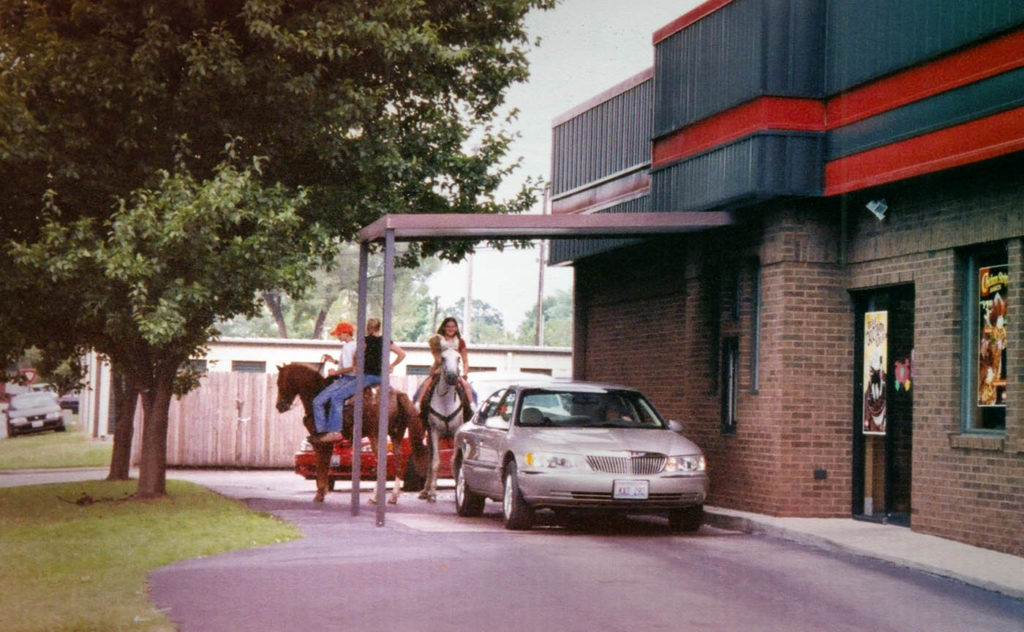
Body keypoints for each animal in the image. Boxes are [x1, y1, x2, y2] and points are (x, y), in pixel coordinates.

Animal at [274, 364, 425, 501]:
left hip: (375, 435)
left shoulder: (320, 442)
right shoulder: (326, 444)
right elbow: (324, 467)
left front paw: (319, 495)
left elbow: (321, 467)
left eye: (280, 382)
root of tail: (397, 394)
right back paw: (393, 496)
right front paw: (322, 492)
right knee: (398, 462)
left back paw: (375, 497)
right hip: (396, 435)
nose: (279, 406)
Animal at [419, 344, 471, 501]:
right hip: (429, 435)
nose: (453, 376)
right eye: (442, 358)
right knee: (430, 459)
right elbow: (435, 462)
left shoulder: (456, 432)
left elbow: (454, 461)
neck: (446, 403)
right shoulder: (434, 432)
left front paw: (457, 490)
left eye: (458, 358)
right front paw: (432, 493)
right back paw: (425, 490)